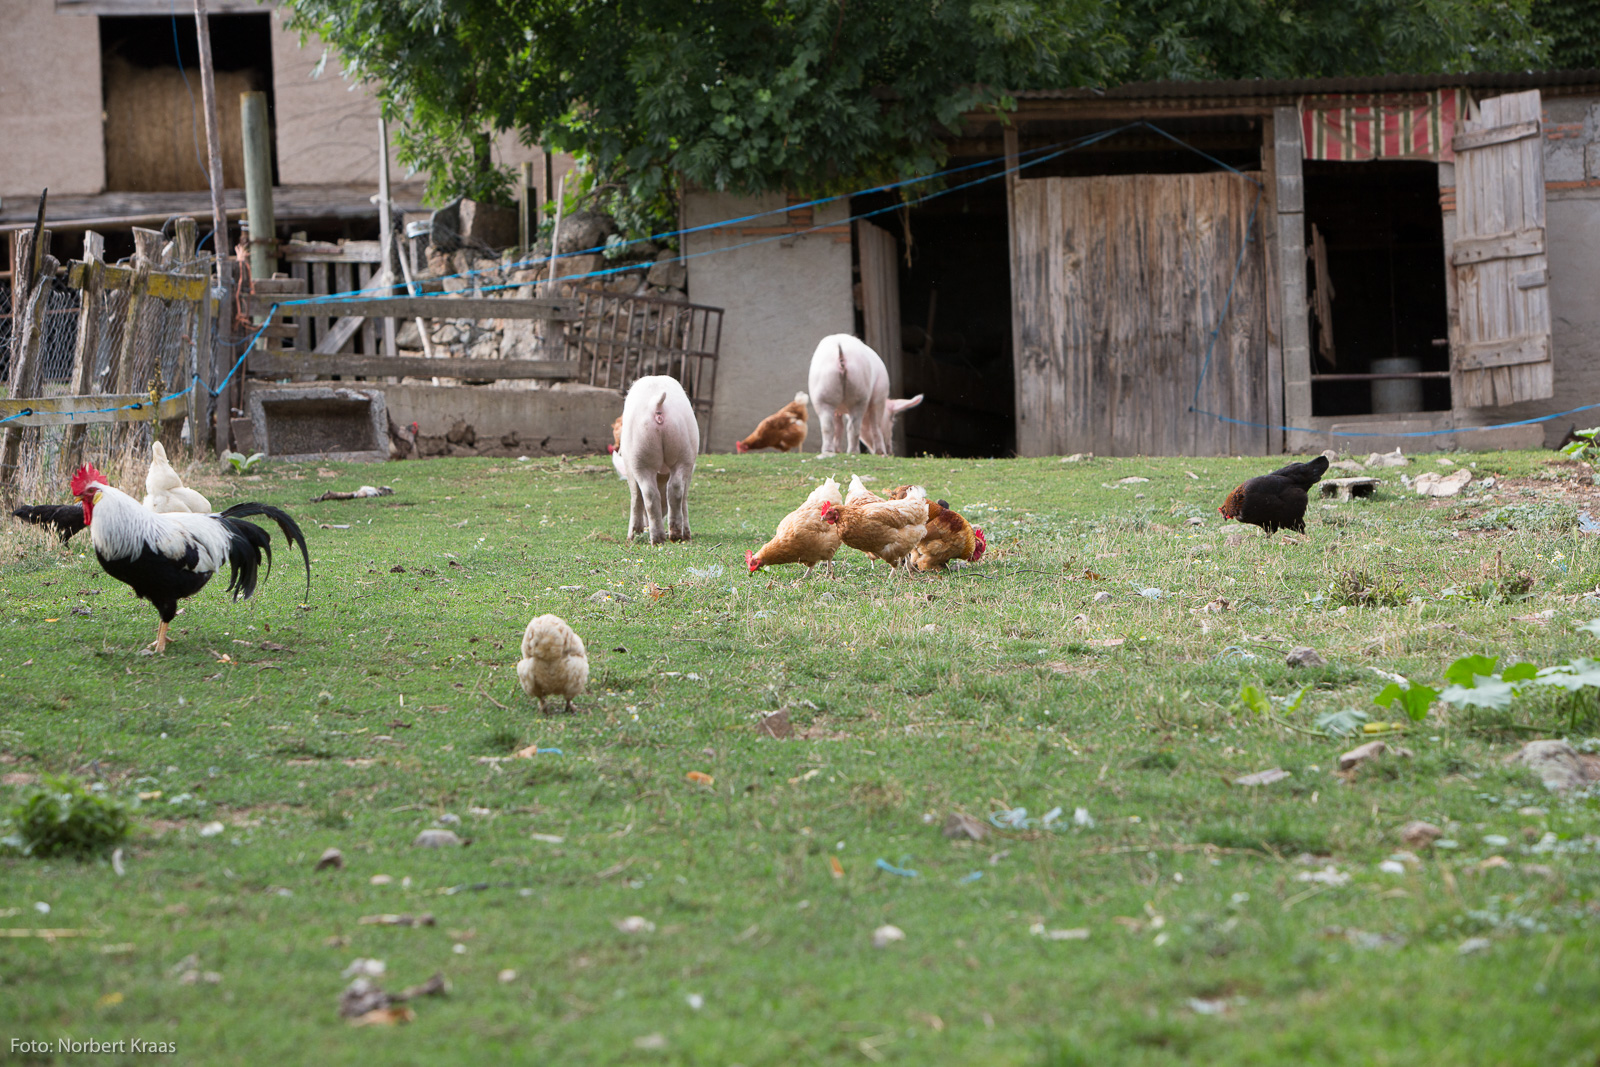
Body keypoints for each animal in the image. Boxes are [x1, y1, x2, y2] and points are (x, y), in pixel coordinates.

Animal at [614, 374, 697, 543]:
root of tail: (657, 404)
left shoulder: (629, 466)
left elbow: (635, 494)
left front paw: (632, 537)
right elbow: (684, 496)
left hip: (639, 454)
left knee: (648, 493)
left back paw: (655, 538)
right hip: (682, 448)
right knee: (673, 489)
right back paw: (672, 537)